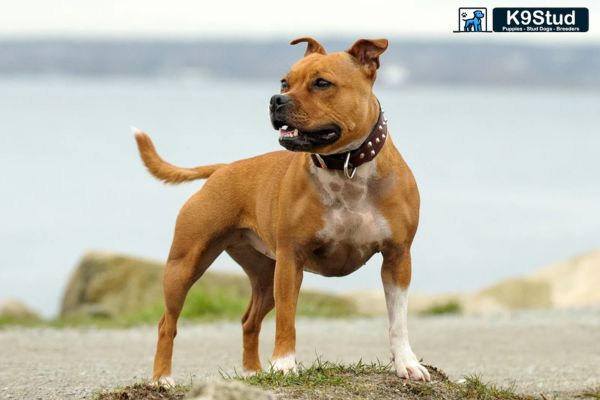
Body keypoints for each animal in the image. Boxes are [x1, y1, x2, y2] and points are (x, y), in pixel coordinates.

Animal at [134, 36, 428, 384]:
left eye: (321, 83)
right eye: (284, 82)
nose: (276, 99)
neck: (345, 167)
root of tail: (222, 168)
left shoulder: (398, 257)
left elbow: (398, 319)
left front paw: (406, 362)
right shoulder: (291, 259)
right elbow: (287, 317)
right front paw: (285, 364)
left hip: (263, 276)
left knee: (249, 320)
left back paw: (252, 372)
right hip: (184, 265)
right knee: (167, 323)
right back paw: (162, 379)